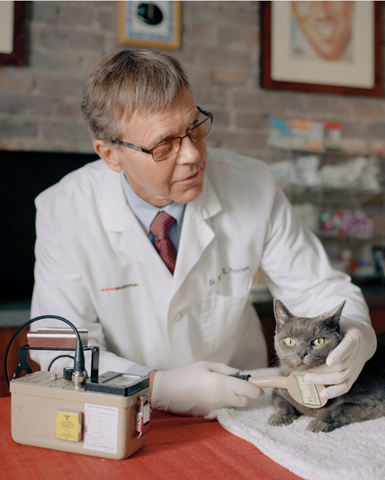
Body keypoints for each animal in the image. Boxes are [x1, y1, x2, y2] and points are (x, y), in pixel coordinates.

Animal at [268, 300, 384, 432]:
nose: (301, 353)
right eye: (289, 341)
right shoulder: (279, 389)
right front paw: (279, 417)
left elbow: (339, 409)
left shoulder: (372, 403)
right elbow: (282, 402)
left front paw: (319, 423)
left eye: (319, 341)